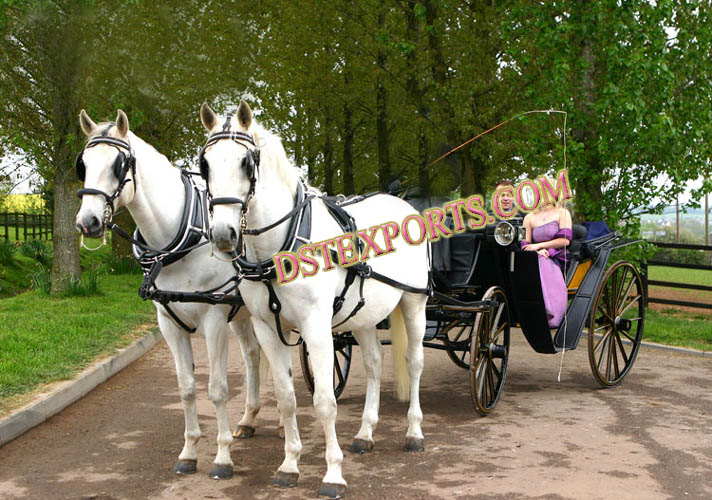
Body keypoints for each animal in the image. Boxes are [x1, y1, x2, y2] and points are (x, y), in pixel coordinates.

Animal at [75, 110, 268, 480]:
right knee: (253, 356)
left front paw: (222, 458)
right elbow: (187, 387)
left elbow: (217, 389)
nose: (87, 221)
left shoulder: (214, 320)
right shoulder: (169, 323)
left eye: (119, 165)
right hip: (241, 314)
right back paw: (250, 419)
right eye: (84, 164)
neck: (180, 243)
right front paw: (189, 452)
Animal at [197, 100, 428, 496]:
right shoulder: (266, 328)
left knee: (413, 362)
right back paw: (365, 433)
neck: (279, 247)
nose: (223, 235)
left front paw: (333, 473)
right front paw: (289, 465)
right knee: (374, 365)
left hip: (414, 303)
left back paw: (414, 432)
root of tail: (404, 205)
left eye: (246, 162)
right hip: (363, 315)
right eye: (205, 164)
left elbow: (324, 401)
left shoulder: (317, 328)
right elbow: (287, 399)